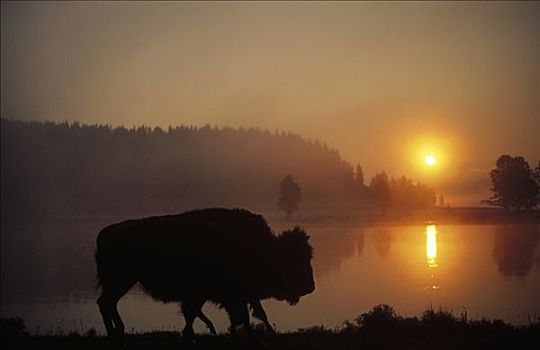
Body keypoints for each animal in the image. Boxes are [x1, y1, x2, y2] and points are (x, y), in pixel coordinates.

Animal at [96, 208, 316, 340]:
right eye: (294, 260)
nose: (311, 286)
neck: (263, 248)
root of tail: (103, 234)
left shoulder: (239, 295)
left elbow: (252, 315)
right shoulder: (227, 294)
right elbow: (240, 316)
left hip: (121, 282)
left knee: (107, 303)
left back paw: (118, 331)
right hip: (121, 281)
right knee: (106, 303)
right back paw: (115, 333)